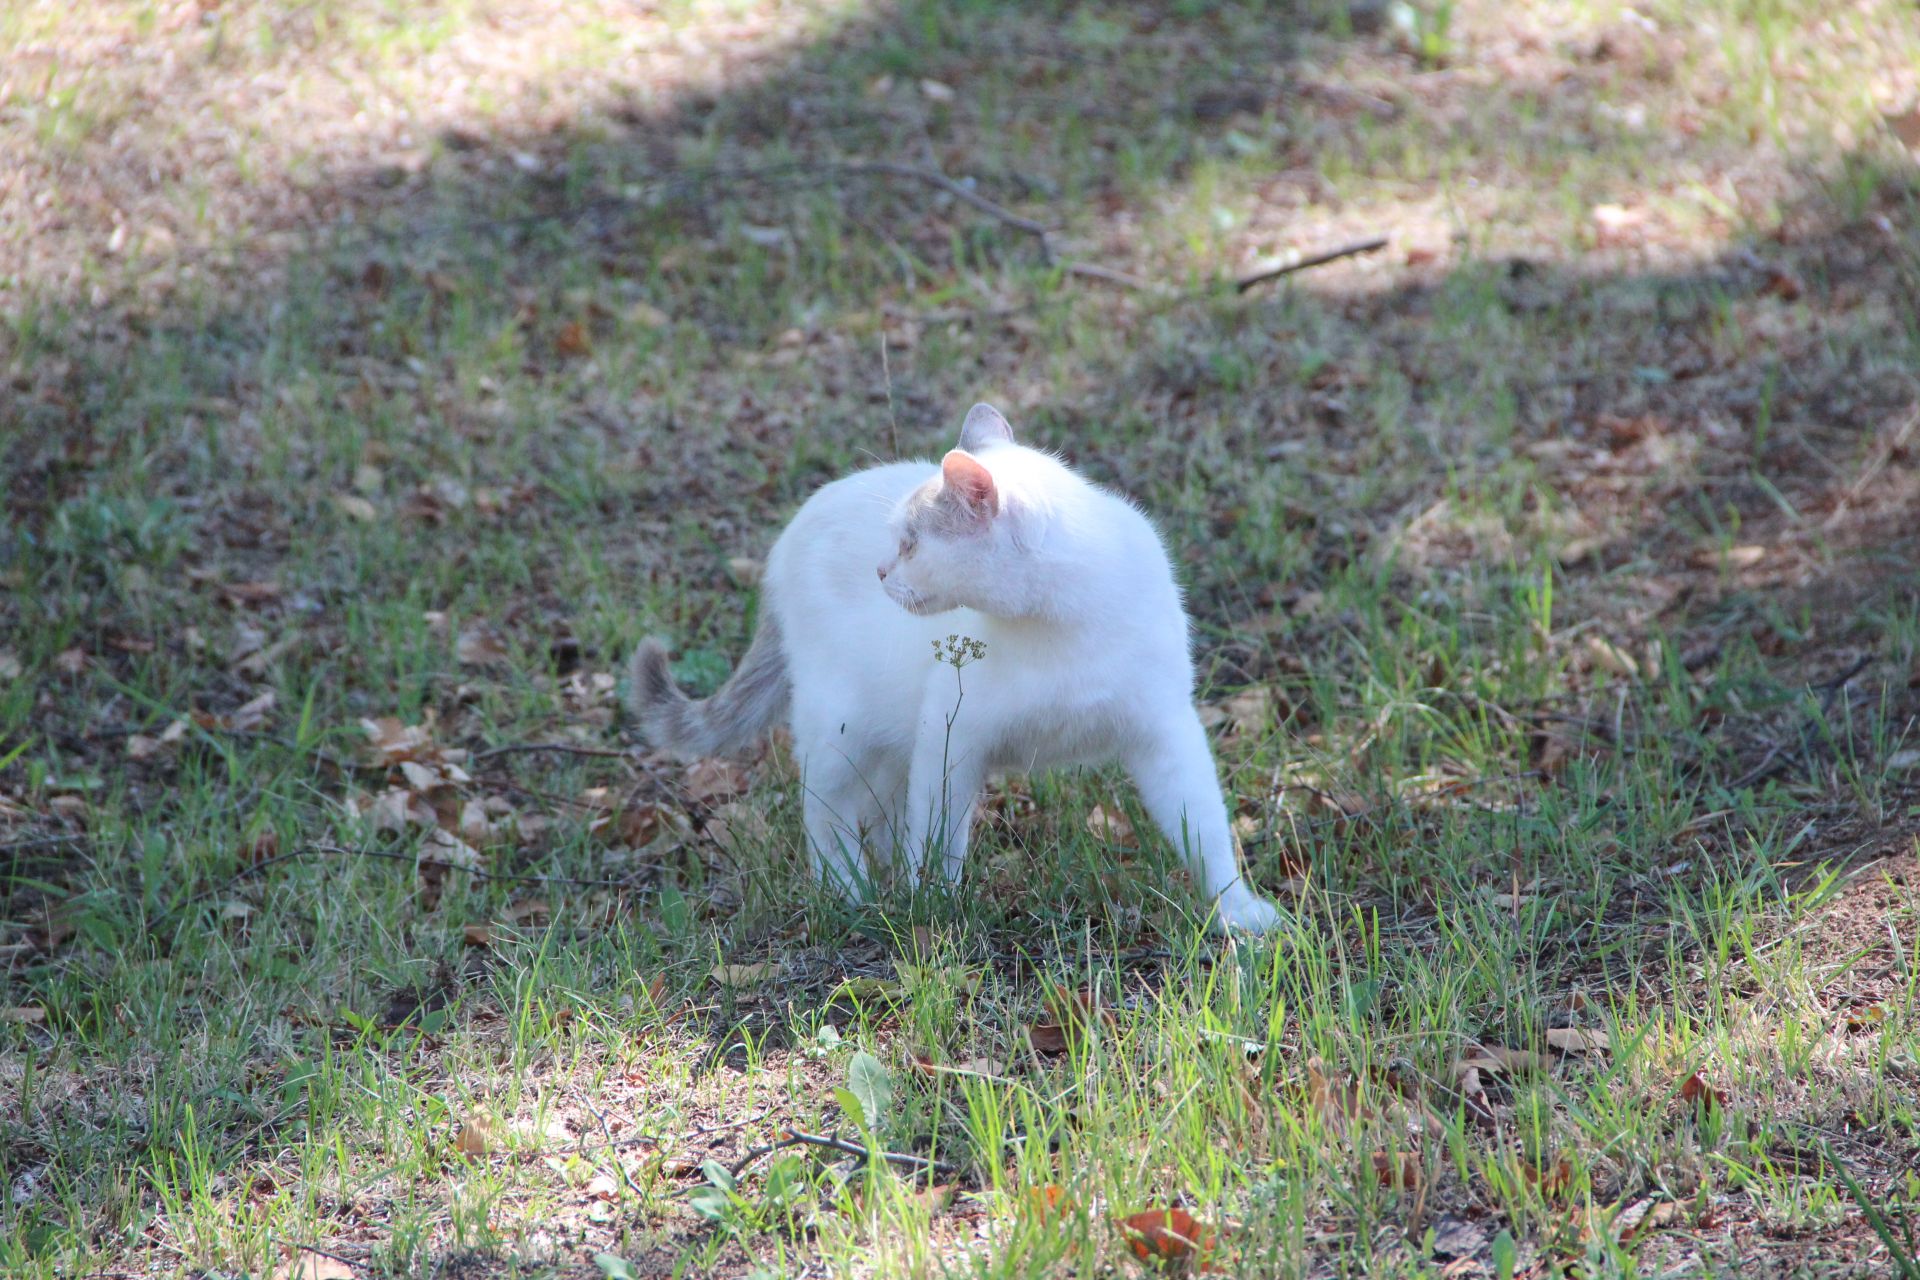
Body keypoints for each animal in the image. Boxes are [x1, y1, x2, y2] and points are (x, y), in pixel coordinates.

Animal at [629, 404, 1282, 936]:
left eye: (911, 543)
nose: (880, 571)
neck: (1061, 628)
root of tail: (792, 531)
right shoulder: (952, 741)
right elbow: (939, 839)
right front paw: (934, 911)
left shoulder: (1166, 733)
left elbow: (1205, 831)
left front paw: (1237, 914)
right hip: (839, 732)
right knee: (826, 818)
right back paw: (849, 893)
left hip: (888, 738)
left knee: (882, 812)